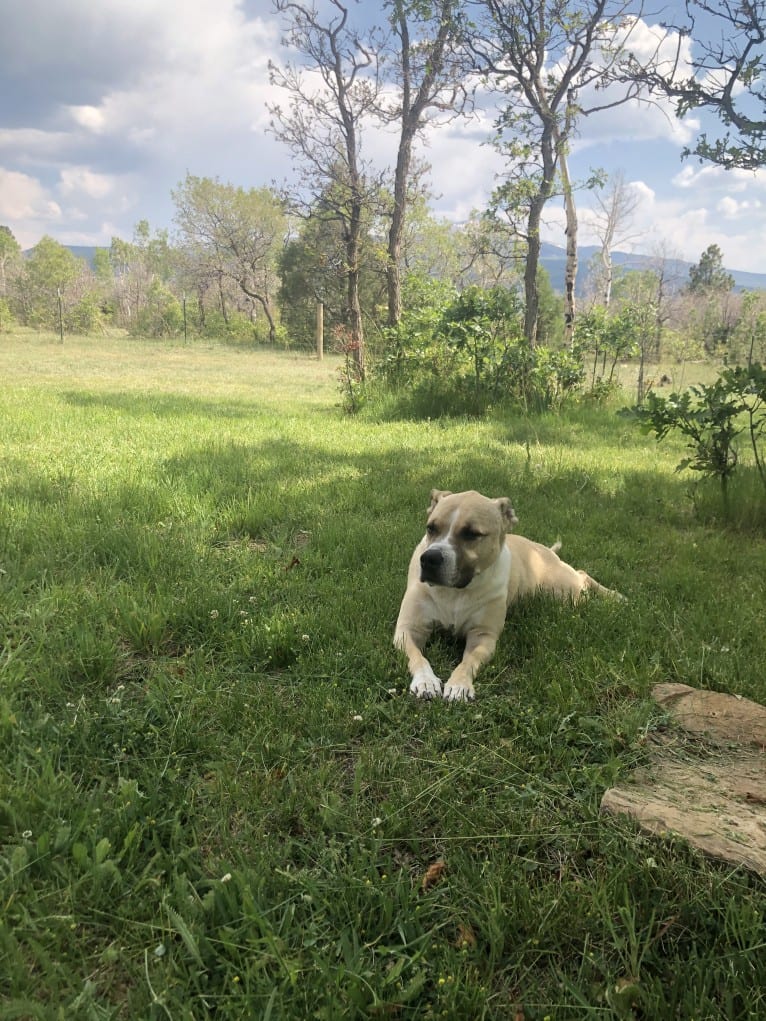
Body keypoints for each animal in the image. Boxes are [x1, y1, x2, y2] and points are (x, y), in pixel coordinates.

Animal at [396, 488, 625, 702]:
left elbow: (468, 661)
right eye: (431, 528)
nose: (430, 559)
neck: (455, 592)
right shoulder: (408, 630)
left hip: (563, 590)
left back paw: (615, 597)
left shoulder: (483, 636)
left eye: (471, 534)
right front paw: (426, 681)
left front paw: (459, 684)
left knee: (582, 576)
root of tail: (545, 549)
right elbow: (417, 656)